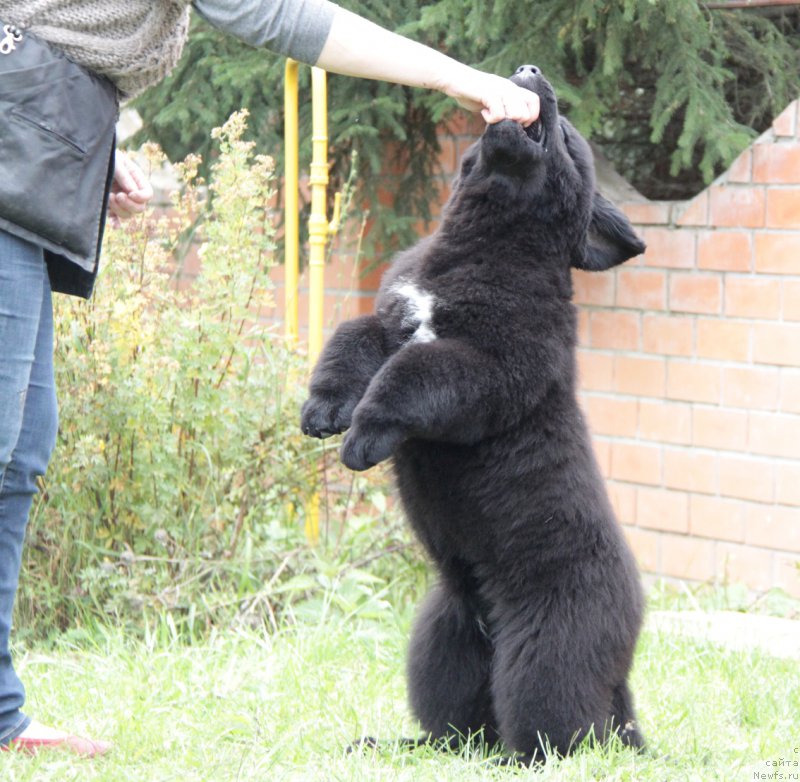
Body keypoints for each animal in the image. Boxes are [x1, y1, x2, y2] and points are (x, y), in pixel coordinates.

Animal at [304, 66, 648, 764]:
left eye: (565, 133)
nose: (529, 71)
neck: (486, 246)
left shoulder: (485, 368)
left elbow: (414, 376)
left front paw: (364, 435)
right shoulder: (393, 321)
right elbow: (353, 339)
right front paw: (324, 407)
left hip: (547, 655)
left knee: (562, 735)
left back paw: (524, 761)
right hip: (443, 636)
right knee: (462, 730)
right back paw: (398, 746)